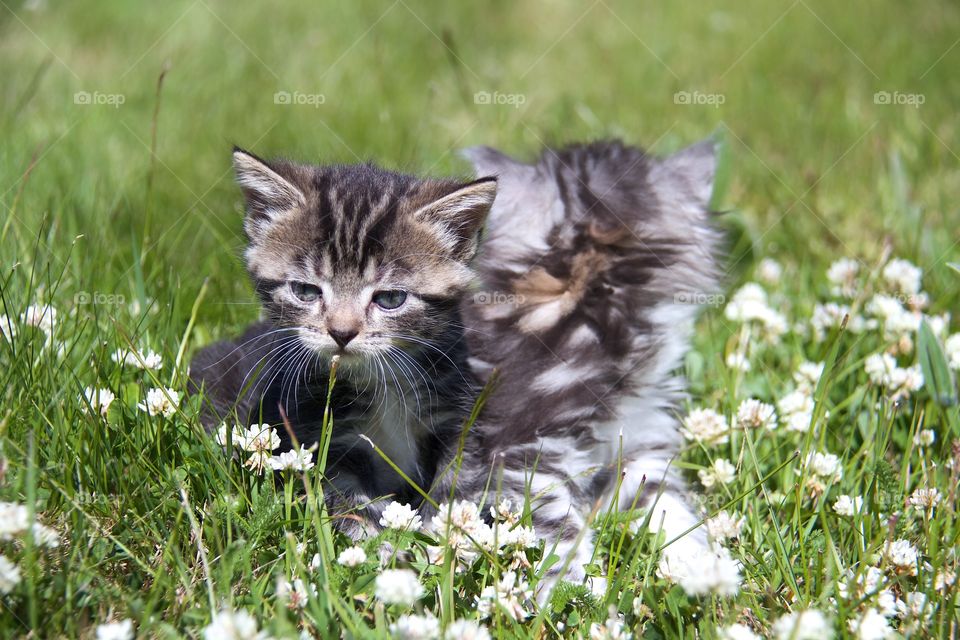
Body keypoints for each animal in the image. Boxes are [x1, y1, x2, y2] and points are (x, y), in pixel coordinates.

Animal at [192, 149, 498, 528]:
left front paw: (451, 535)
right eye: (305, 291)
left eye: (390, 298)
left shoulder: (457, 419)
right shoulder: (323, 437)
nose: (342, 332)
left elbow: (457, 484)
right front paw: (379, 540)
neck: (383, 381)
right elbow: (350, 504)